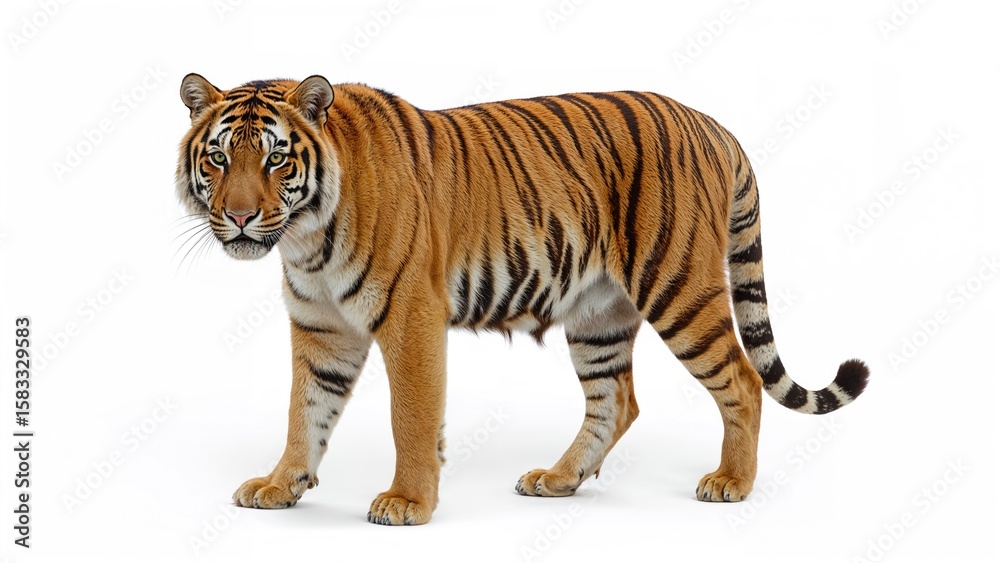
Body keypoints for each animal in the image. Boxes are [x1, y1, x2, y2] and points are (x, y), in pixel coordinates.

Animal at [175, 73, 869, 526]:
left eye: (275, 160)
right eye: (218, 159)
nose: (239, 217)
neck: (305, 236)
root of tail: (713, 125)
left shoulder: (410, 316)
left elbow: (411, 415)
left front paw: (408, 502)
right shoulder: (322, 328)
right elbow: (305, 410)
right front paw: (280, 486)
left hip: (678, 288)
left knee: (744, 381)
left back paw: (731, 484)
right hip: (598, 312)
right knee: (616, 399)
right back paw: (558, 479)